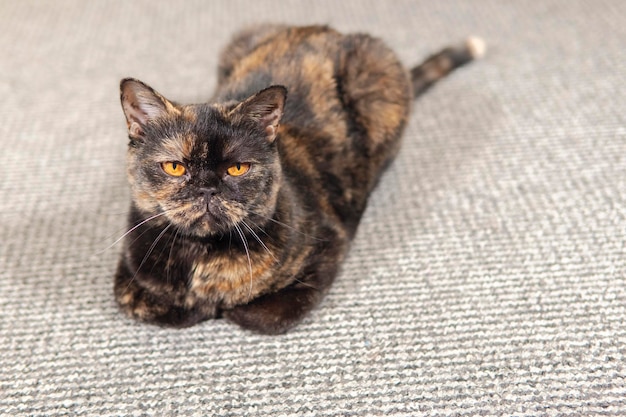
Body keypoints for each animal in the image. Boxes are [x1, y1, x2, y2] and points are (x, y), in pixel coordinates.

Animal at [113, 24, 482, 334]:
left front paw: (226, 309)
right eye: (175, 167)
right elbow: (145, 303)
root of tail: (328, 32)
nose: (207, 188)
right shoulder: (128, 268)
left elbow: (264, 314)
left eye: (237, 169)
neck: (205, 257)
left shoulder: (329, 246)